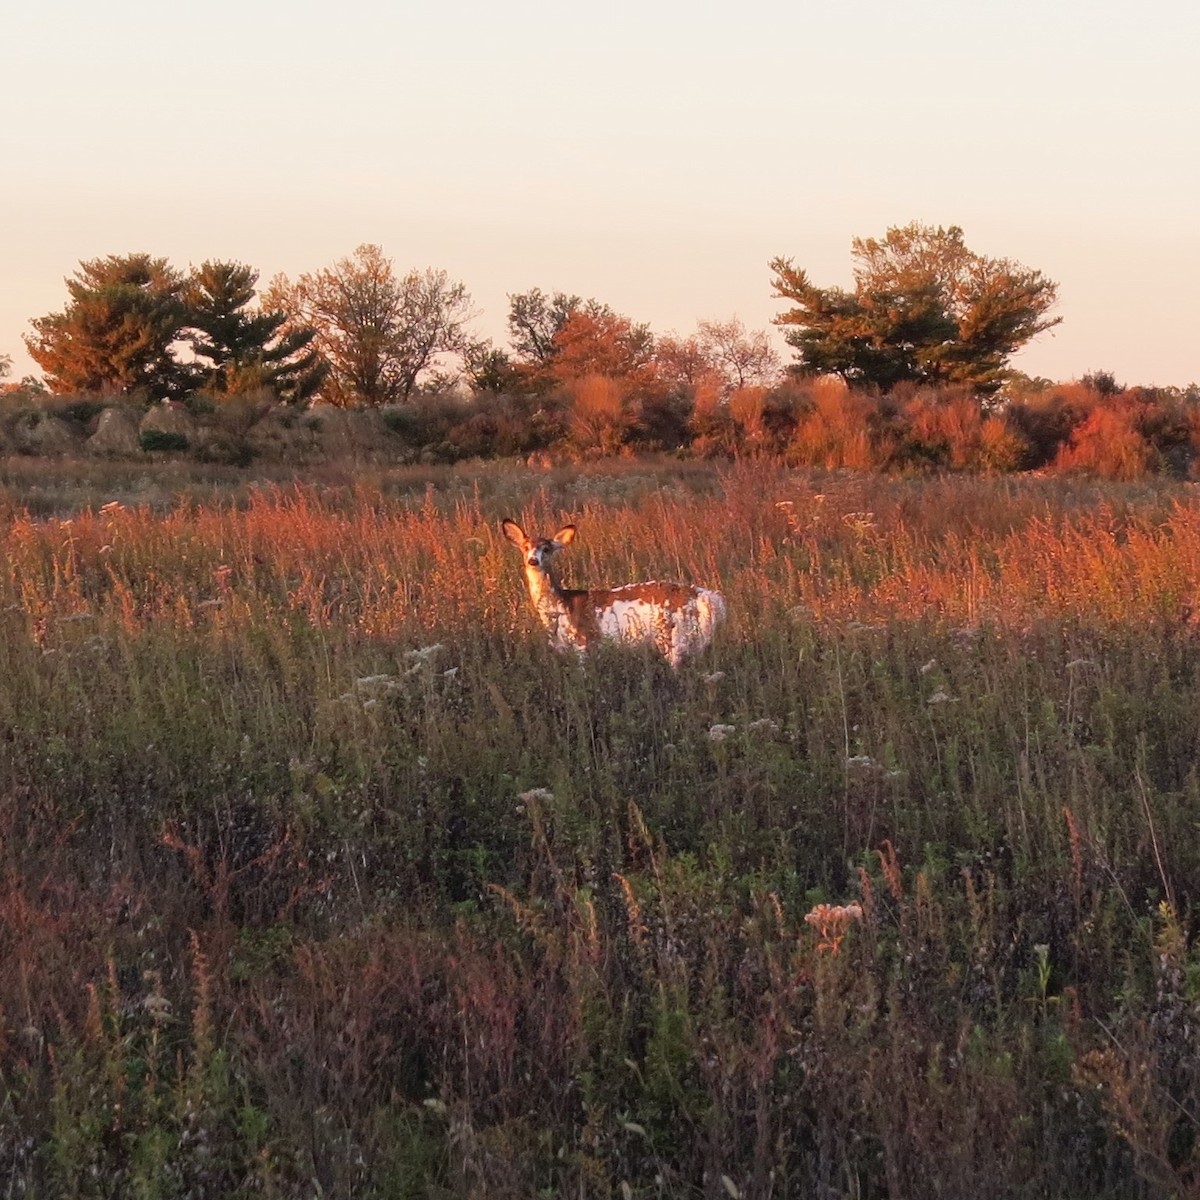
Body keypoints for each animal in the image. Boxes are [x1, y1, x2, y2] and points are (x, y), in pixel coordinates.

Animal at [501, 519, 726, 668]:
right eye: (525, 547)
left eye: (546, 549)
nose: (533, 560)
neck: (560, 607)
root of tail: (705, 597)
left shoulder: (584, 643)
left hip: (673, 637)